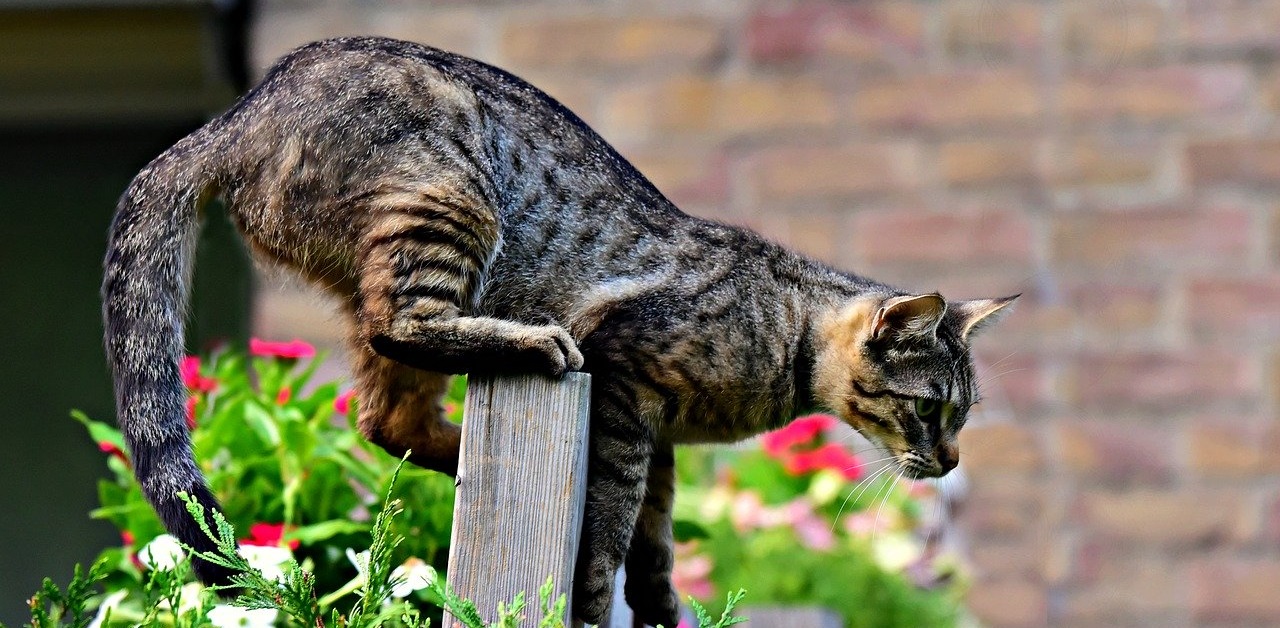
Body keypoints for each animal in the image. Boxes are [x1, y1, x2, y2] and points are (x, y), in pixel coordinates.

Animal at [102, 36, 1008, 626]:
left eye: (961, 417)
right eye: (930, 411)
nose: (951, 461)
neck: (785, 334)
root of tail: (233, 116)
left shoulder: (658, 438)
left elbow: (655, 544)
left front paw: (660, 611)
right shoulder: (626, 390)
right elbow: (609, 533)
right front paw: (596, 602)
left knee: (385, 418)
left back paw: (462, 456)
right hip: (447, 201)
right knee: (405, 330)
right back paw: (532, 347)